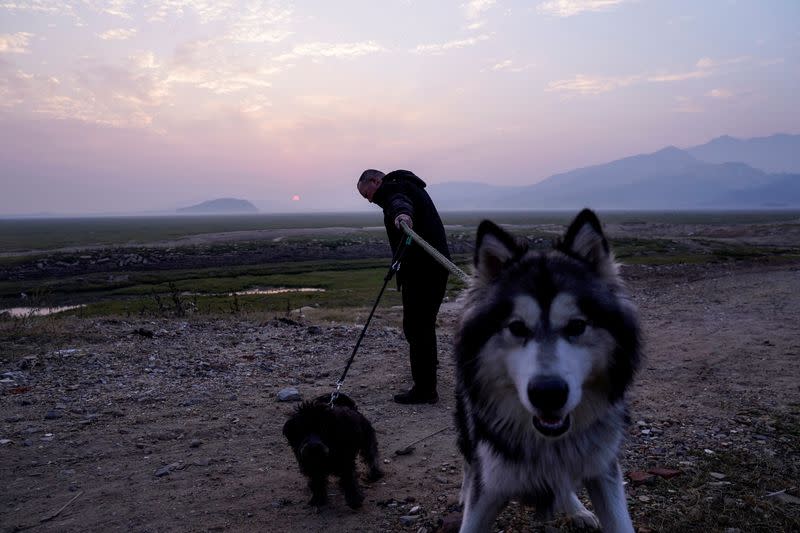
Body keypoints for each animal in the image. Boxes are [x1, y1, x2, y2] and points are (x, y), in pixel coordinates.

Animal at [454, 210, 640, 528]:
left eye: (577, 325)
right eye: (517, 327)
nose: (548, 393)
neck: (547, 442)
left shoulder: (603, 469)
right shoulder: (489, 484)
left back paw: (575, 508)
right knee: (468, 460)